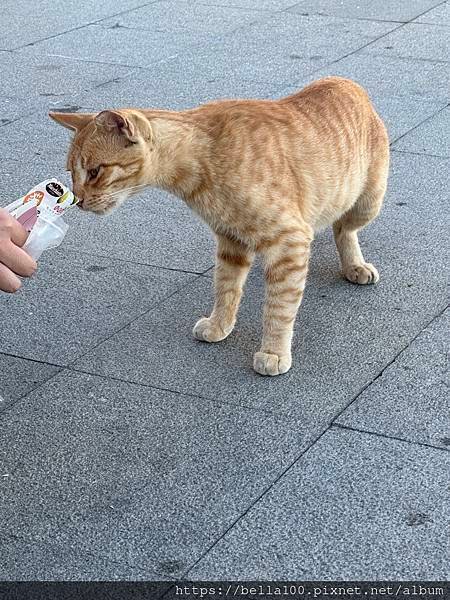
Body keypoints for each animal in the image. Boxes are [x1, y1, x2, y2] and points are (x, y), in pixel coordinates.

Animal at [48, 75, 386, 376]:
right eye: (71, 172)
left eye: (94, 171)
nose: (78, 201)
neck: (203, 163)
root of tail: (344, 81)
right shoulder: (230, 241)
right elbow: (226, 287)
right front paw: (220, 324)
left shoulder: (289, 240)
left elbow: (279, 307)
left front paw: (274, 351)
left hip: (368, 203)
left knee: (344, 228)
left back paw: (355, 265)